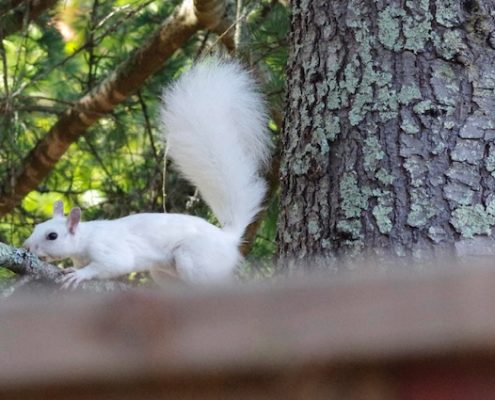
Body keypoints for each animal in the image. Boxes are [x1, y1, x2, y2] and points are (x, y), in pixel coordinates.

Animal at [22, 57, 272, 288]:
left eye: (52, 235)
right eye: (36, 227)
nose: (26, 246)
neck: (84, 239)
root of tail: (227, 239)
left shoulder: (109, 249)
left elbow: (112, 264)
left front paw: (79, 275)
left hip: (194, 260)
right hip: (165, 273)